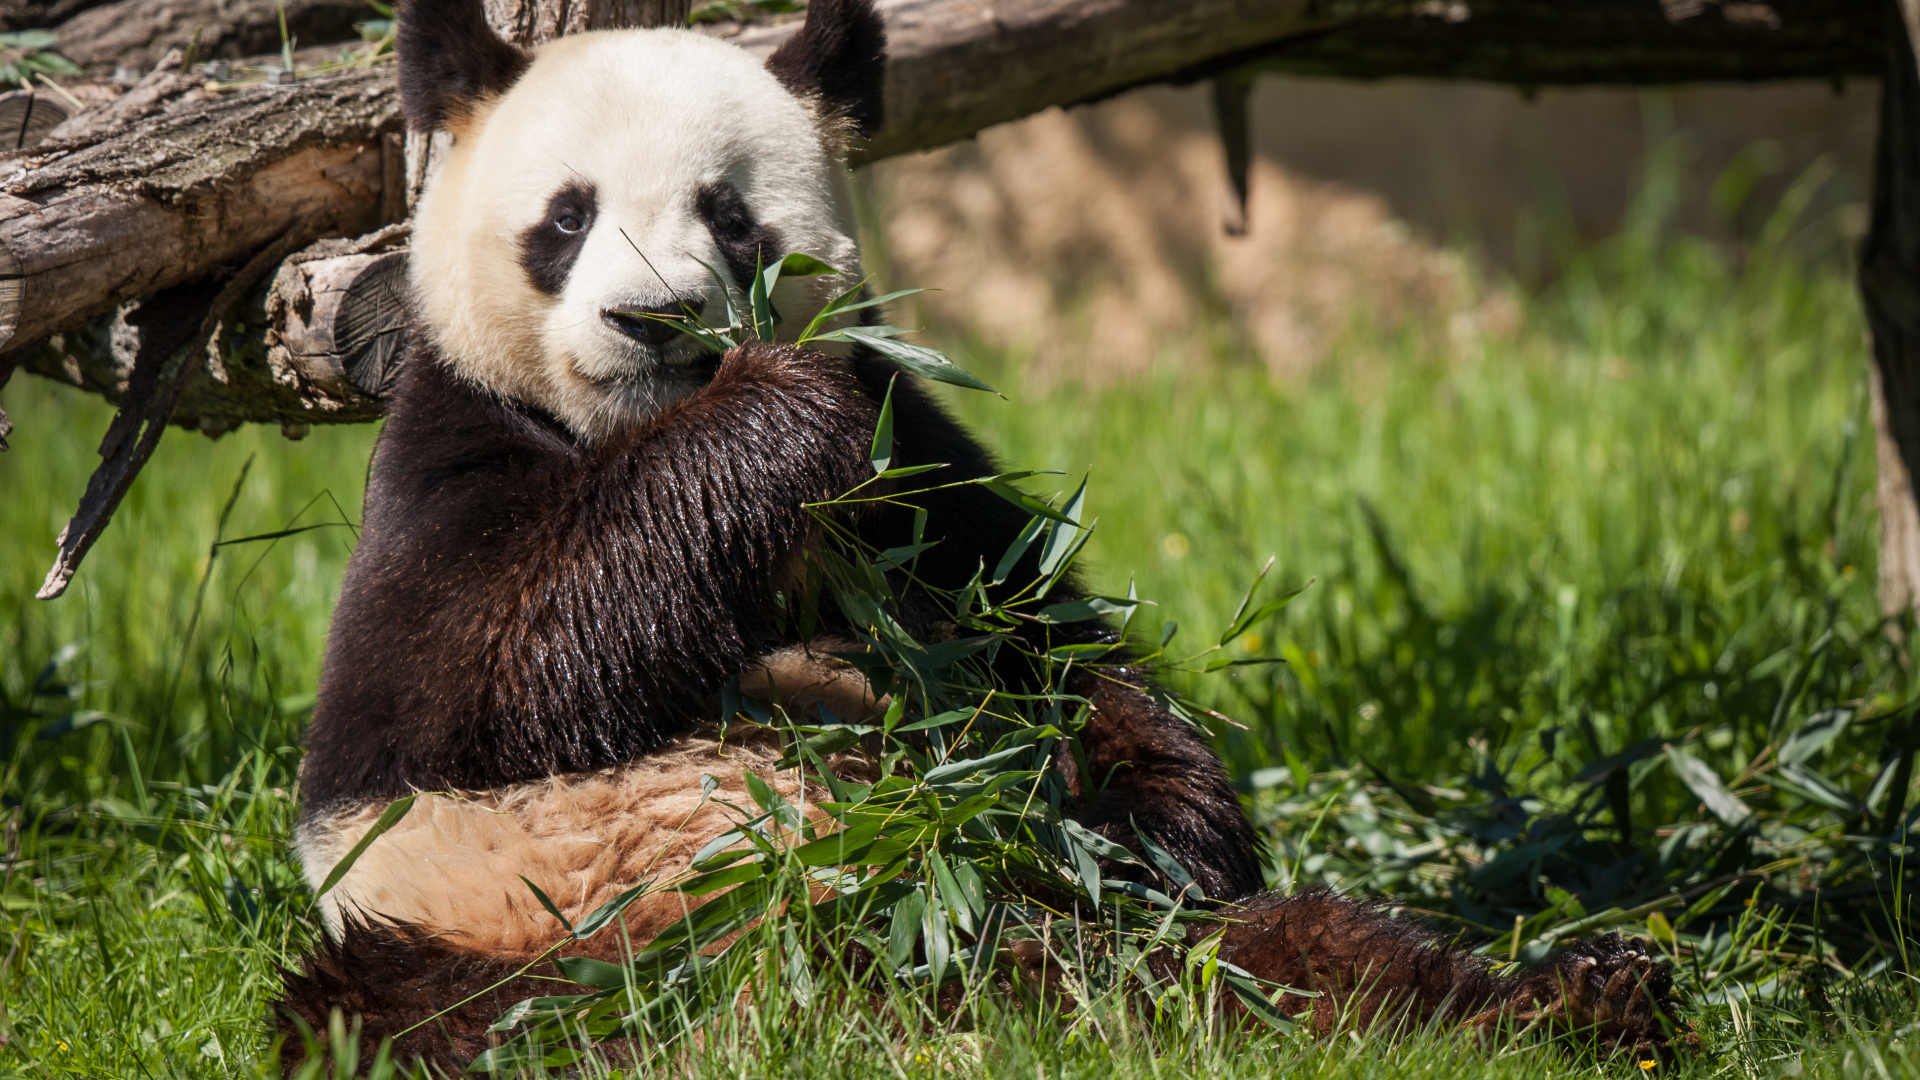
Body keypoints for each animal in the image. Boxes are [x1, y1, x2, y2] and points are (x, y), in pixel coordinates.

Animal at [278, 0, 1689, 1060]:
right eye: (566, 217)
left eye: (730, 216)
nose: (657, 321)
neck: (626, 429)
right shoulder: (445, 467)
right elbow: (496, 668)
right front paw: (770, 412)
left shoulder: (916, 480)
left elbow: (1052, 644)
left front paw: (1164, 822)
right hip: (508, 940)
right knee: (445, 1022)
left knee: (1297, 957)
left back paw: (1581, 1000)